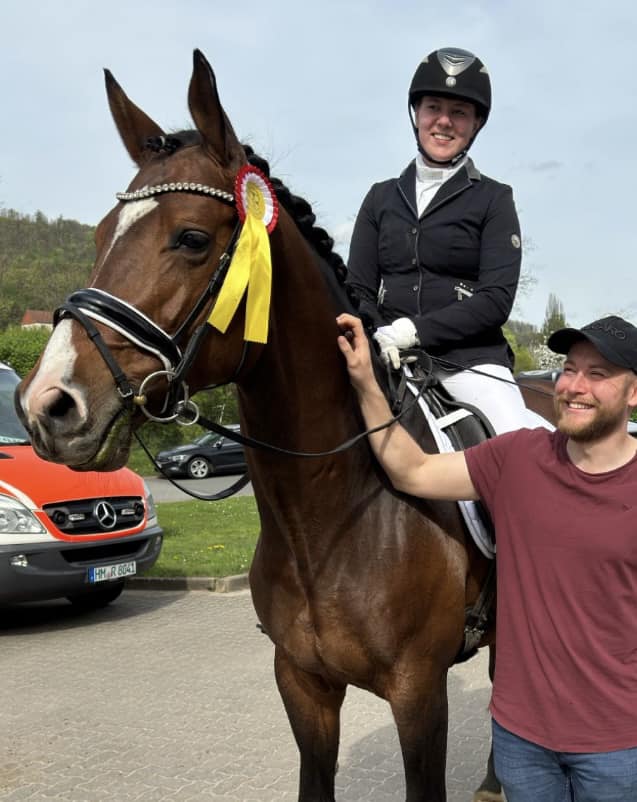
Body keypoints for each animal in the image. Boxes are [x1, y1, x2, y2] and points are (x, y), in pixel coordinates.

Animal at [13, 51, 552, 800]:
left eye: (191, 238)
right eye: (97, 236)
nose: (48, 405)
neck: (327, 517)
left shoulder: (419, 694)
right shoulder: (301, 684)